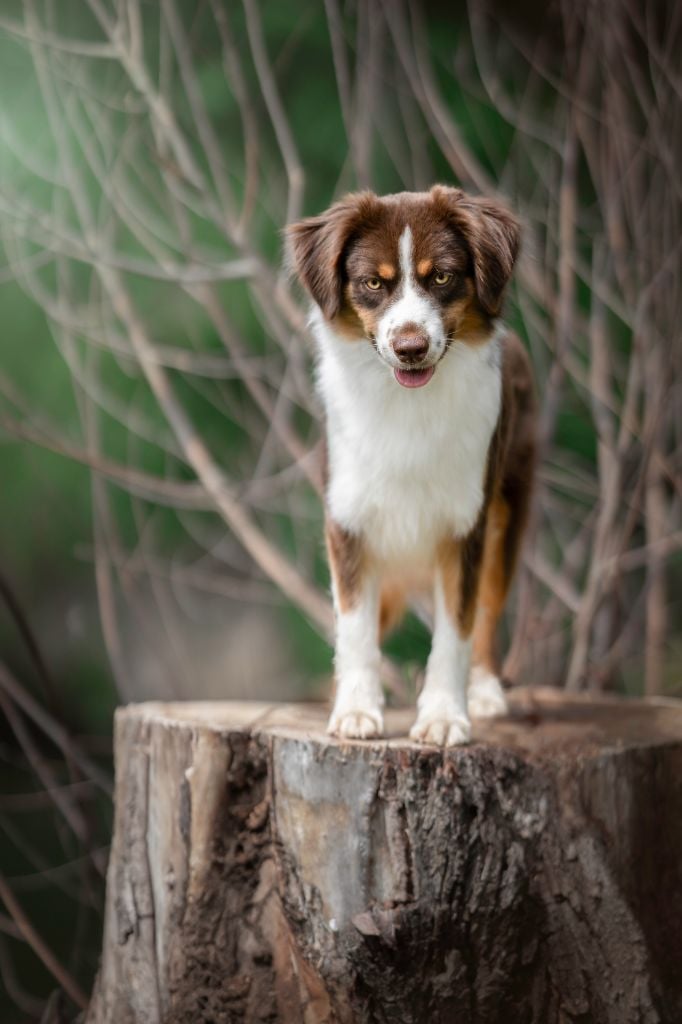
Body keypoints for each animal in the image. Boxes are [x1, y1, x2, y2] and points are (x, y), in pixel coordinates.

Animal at [284, 186, 532, 745]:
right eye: (374, 283)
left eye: (440, 277)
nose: (411, 348)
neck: (407, 406)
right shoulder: (349, 520)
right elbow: (355, 627)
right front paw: (355, 711)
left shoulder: (465, 525)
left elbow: (456, 629)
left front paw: (443, 716)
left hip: (508, 512)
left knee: (487, 609)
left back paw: (485, 691)